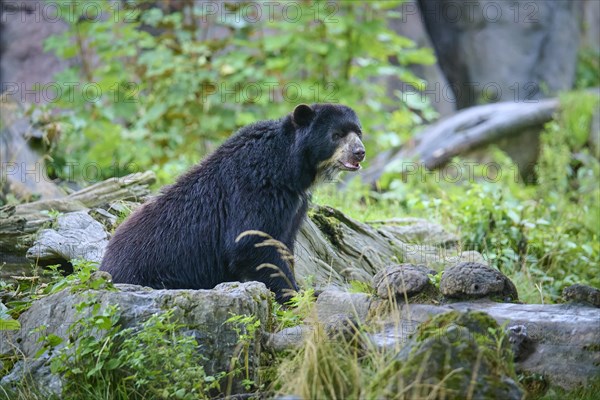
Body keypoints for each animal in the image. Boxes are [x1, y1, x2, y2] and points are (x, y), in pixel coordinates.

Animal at [100, 104, 364, 304]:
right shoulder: (256, 187)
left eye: (358, 132)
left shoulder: (295, 205)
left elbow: (283, 242)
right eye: (337, 134)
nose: (359, 152)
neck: (293, 169)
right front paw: (295, 295)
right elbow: (252, 242)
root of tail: (107, 265)